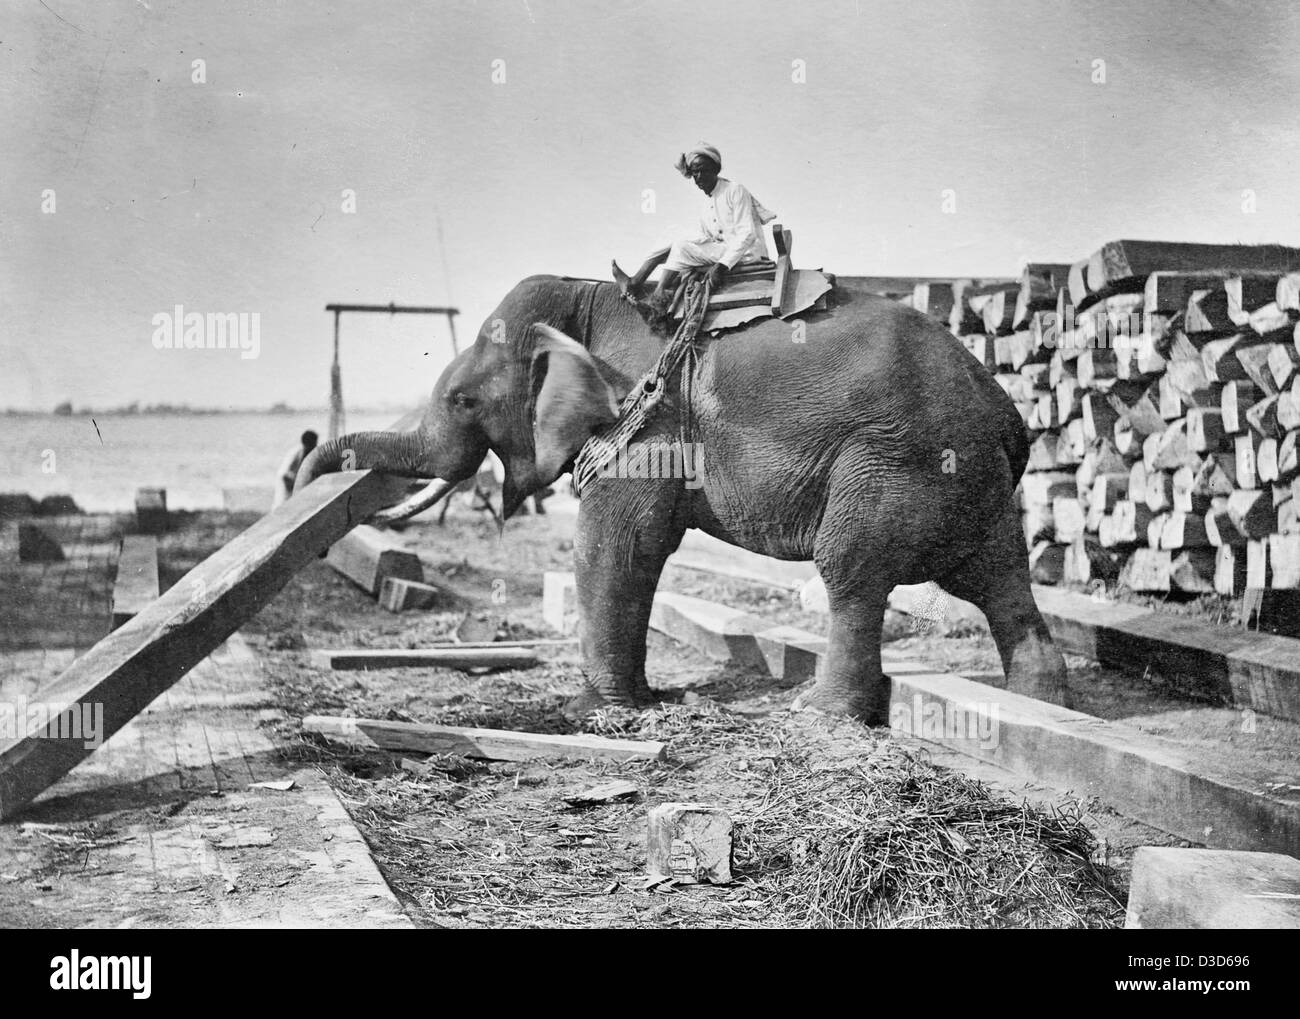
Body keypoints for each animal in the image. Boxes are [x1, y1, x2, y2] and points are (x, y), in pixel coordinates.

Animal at [299, 272, 1071, 722]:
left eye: (463, 398)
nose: (312, 476)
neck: (588, 298)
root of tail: (1005, 411)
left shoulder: (645, 418)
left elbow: (616, 546)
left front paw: (597, 714)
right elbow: (637, 553)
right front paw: (641, 702)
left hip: (893, 463)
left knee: (852, 572)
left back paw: (818, 716)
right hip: (972, 485)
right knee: (1000, 579)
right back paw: (1037, 702)